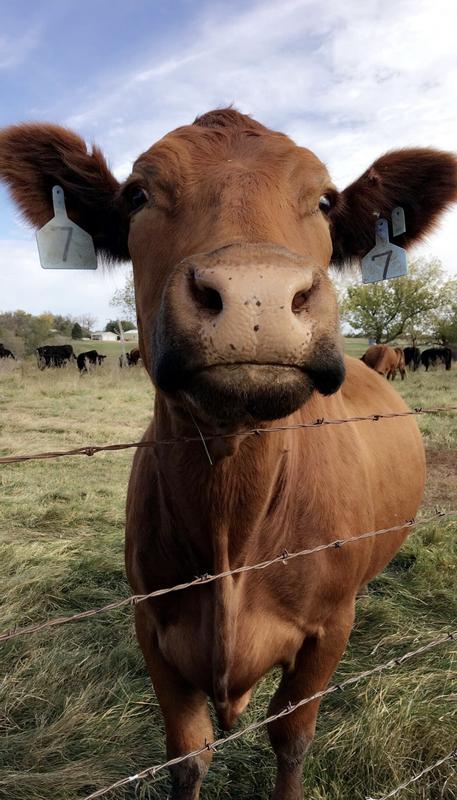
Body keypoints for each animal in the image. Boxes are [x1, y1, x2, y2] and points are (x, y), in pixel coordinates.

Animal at [1, 109, 456, 800]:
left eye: (325, 201)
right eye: (138, 195)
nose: (256, 296)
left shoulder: (328, 631)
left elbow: (292, 738)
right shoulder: (152, 627)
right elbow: (188, 754)